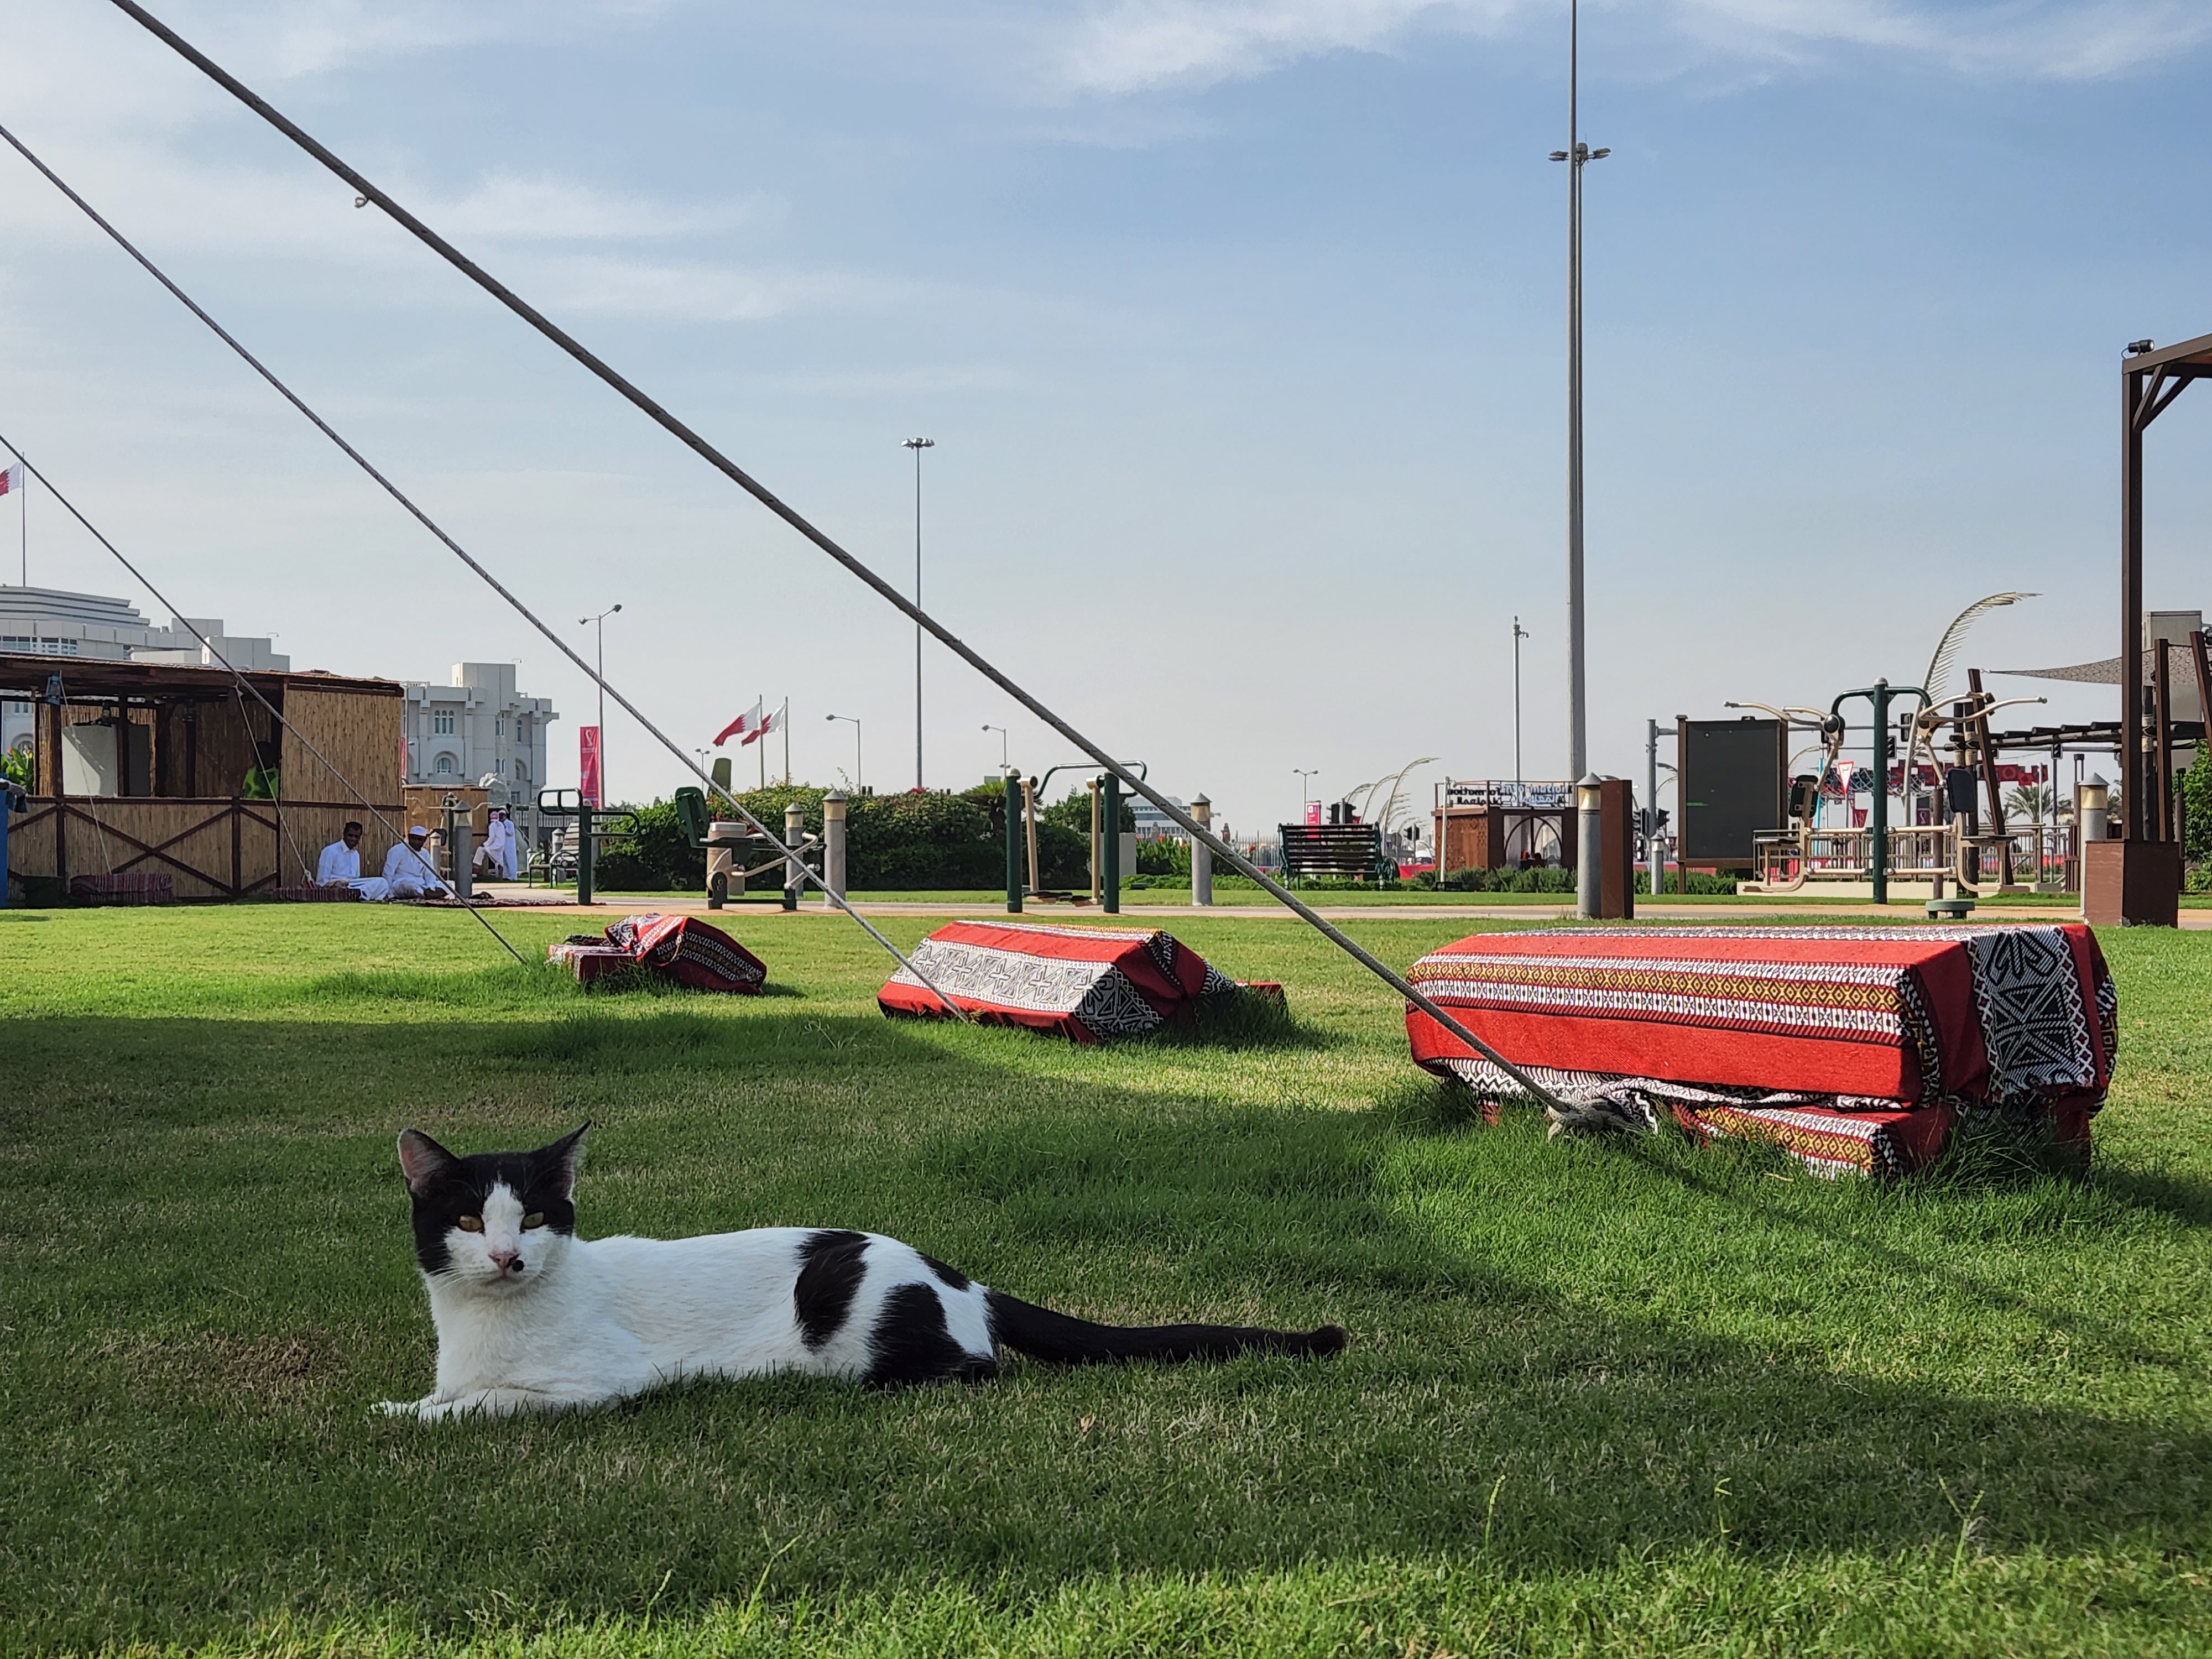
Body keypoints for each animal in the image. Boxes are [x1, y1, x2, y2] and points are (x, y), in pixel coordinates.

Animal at [383, 1124, 1345, 1425]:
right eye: (467, 1221)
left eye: (536, 1219)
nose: (508, 1257)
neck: (479, 1327)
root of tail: (960, 1277)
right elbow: (440, 1396)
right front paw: (403, 1404)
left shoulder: (598, 1385)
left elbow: (479, 1405)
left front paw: (414, 1418)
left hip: (853, 1326)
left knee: (978, 1369)